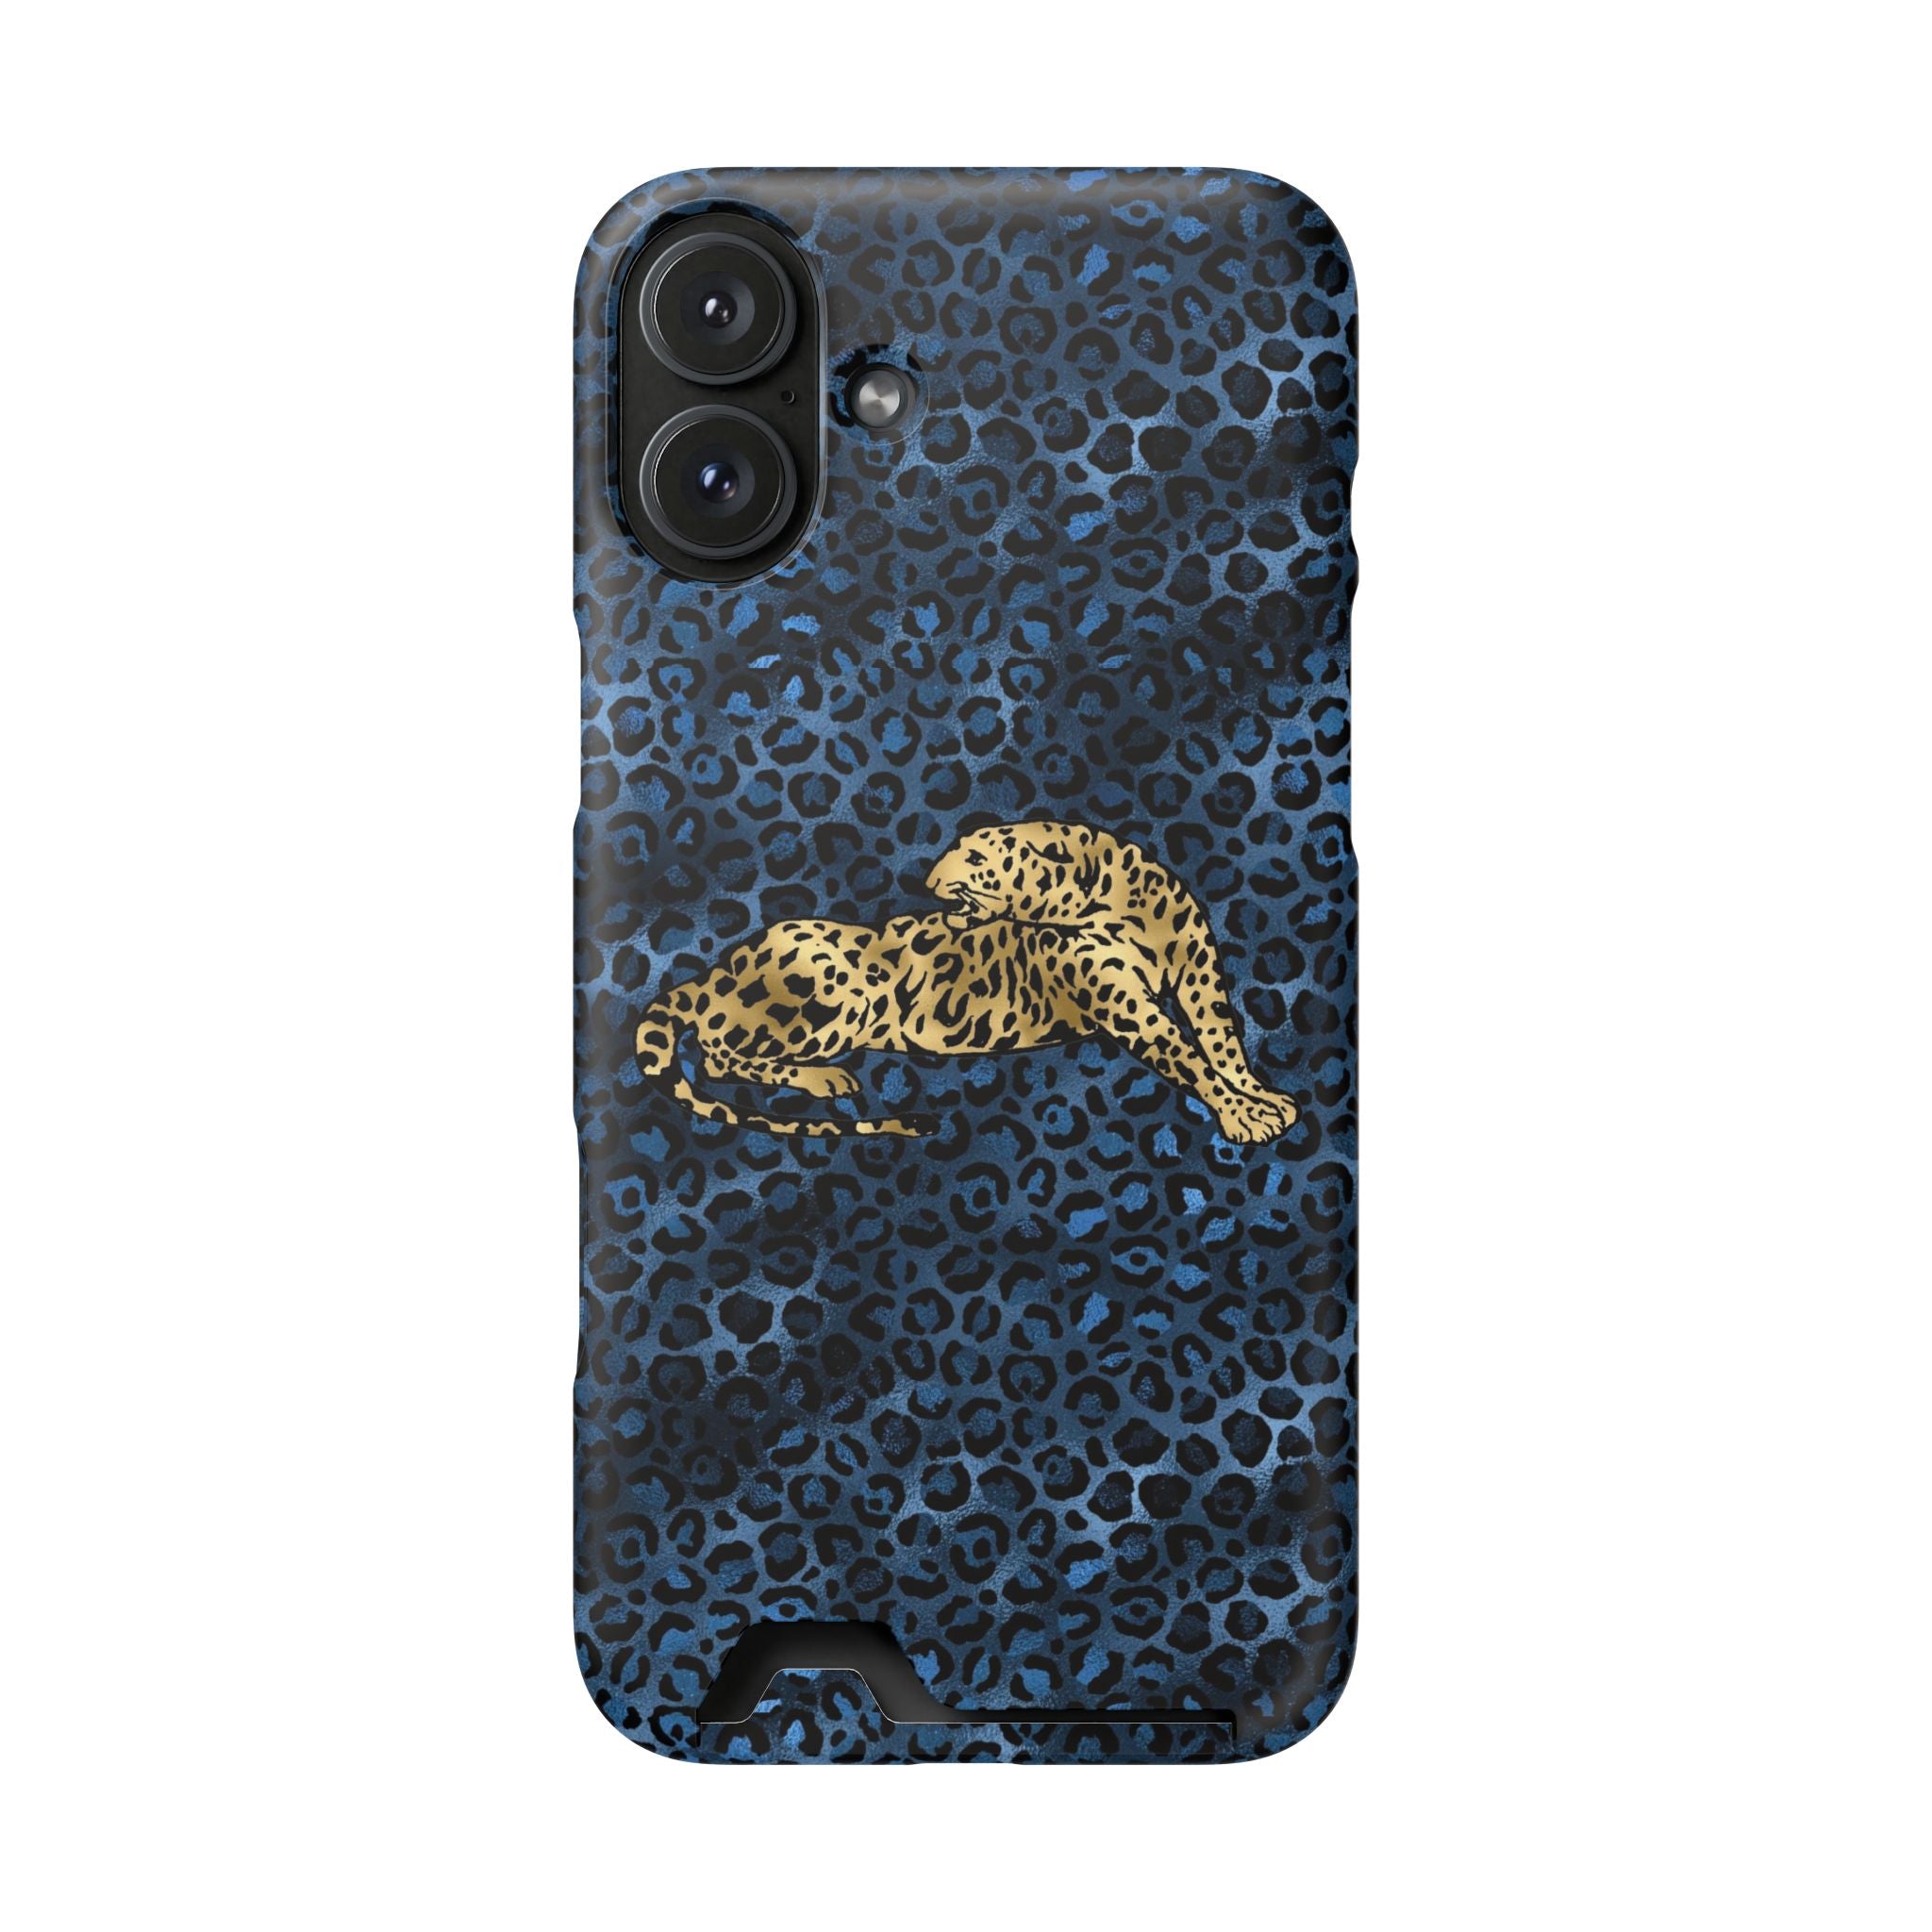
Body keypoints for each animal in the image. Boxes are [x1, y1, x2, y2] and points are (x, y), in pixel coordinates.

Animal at [634, 822, 1299, 1143]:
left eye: (978, 859)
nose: (928, 879)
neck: (1121, 904)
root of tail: (720, 968)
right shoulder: (1127, 1005)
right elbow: (1185, 1055)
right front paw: (1243, 1117)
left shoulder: (1199, 973)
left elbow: (1222, 1041)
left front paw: (1260, 1096)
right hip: (840, 991)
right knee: (718, 1055)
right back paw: (825, 1079)